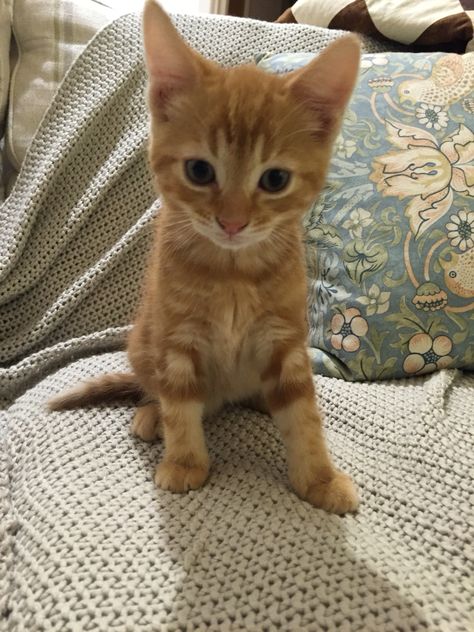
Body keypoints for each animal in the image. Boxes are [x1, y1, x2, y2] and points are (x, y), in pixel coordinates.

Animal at [49, 0, 360, 512]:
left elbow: (303, 413)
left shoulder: (286, 339)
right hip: (143, 342)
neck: (232, 274)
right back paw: (150, 414)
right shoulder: (176, 336)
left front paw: (319, 479)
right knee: (156, 389)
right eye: (199, 171)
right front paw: (184, 462)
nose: (232, 223)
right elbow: (180, 403)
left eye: (275, 180)